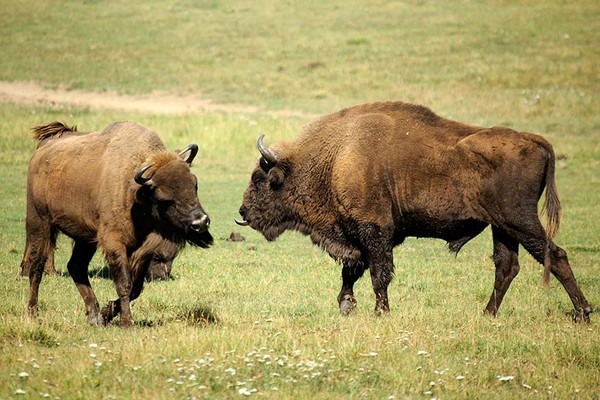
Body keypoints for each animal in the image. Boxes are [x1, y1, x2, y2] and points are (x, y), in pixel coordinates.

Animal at [21, 120, 213, 326]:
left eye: (194, 184)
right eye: (164, 199)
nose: (200, 222)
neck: (137, 192)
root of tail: (40, 154)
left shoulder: (143, 250)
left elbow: (136, 288)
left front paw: (106, 314)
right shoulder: (114, 243)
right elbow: (124, 284)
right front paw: (126, 323)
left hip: (85, 238)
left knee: (76, 266)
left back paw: (94, 316)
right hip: (40, 223)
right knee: (37, 266)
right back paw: (33, 313)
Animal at [237, 100, 592, 322]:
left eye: (259, 178)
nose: (242, 212)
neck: (335, 157)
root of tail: (535, 140)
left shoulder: (374, 231)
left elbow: (379, 273)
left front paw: (380, 312)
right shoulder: (361, 235)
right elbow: (353, 270)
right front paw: (347, 306)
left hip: (519, 221)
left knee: (555, 256)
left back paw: (583, 314)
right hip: (501, 227)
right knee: (507, 266)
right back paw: (487, 314)